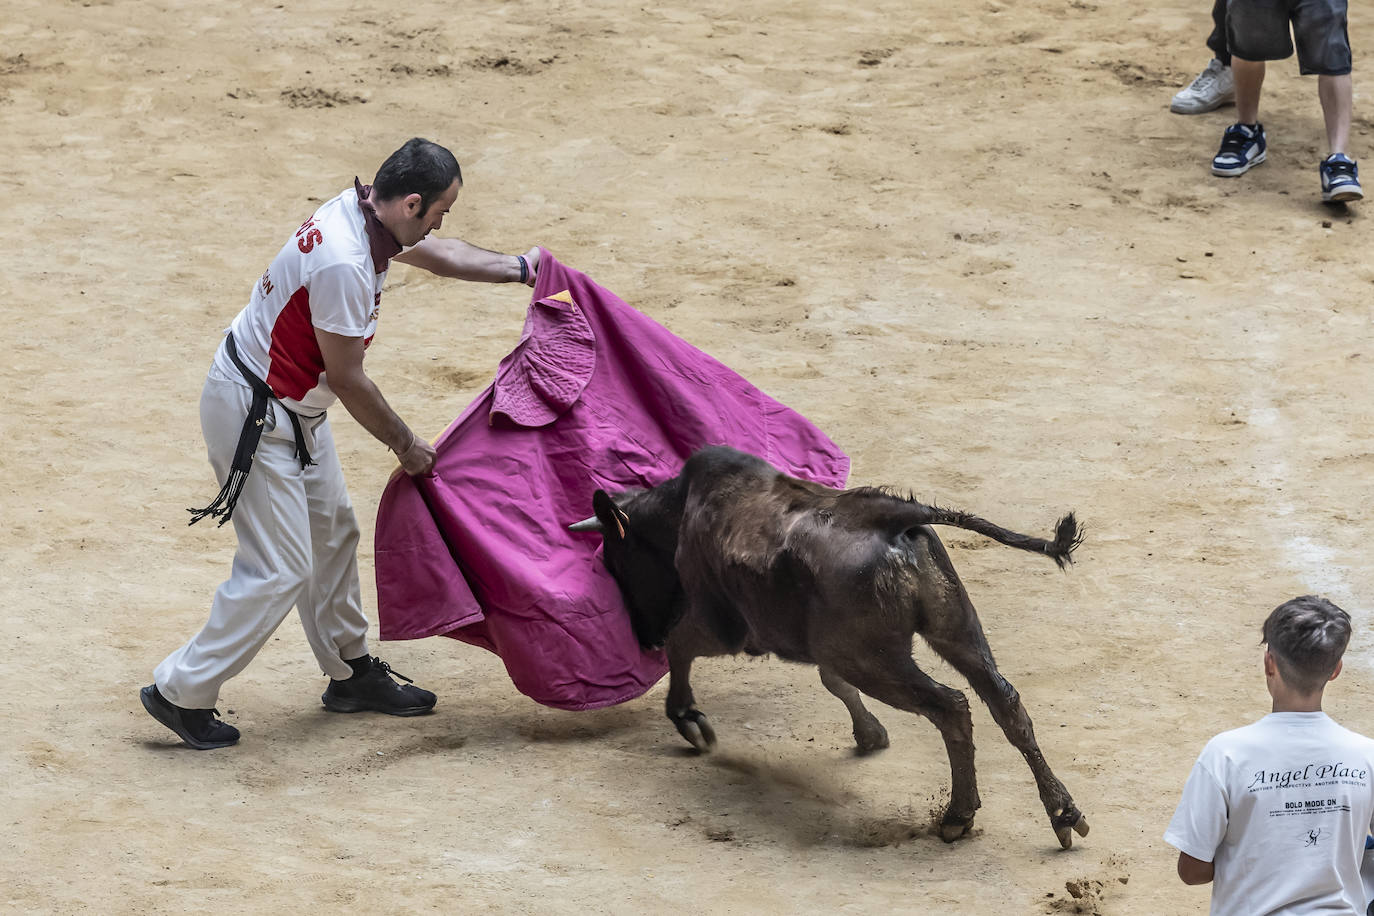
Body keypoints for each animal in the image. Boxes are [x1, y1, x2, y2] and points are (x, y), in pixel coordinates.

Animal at [568, 444, 1082, 845]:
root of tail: (891, 517)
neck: (681, 512)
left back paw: (958, 817)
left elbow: (680, 647)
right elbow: (831, 682)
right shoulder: (824, 645)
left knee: (951, 707)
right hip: (951, 630)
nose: (643, 637)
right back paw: (1064, 814)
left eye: (616, 560)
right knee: (1004, 701)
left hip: (874, 660)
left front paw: (689, 720)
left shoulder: (725, 626)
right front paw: (870, 735)